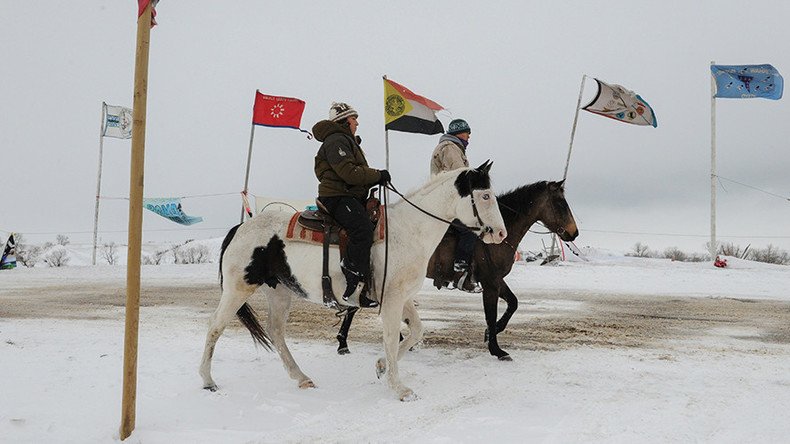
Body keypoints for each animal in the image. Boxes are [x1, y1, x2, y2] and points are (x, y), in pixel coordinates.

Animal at [198, 161, 508, 400]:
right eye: (485, 196)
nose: (501, 234)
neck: (409, 230)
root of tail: (240, 228)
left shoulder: (401, 297)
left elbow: (416, 331)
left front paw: (382, 366)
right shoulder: (392, 299)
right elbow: (391, 337)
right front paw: (400, 388)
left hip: (279, 292)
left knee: (275, 331)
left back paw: (301, 377)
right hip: (238, 288)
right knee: (215, 326)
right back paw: (207, 380)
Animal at [336, 180, 580, 360]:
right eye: (561, 203)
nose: (574, 232)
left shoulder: (496, 280)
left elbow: (513, 303)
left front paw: (491, 333)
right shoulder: (490, 284)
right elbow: (491, 314)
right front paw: (496, 349)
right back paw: (344, 342)